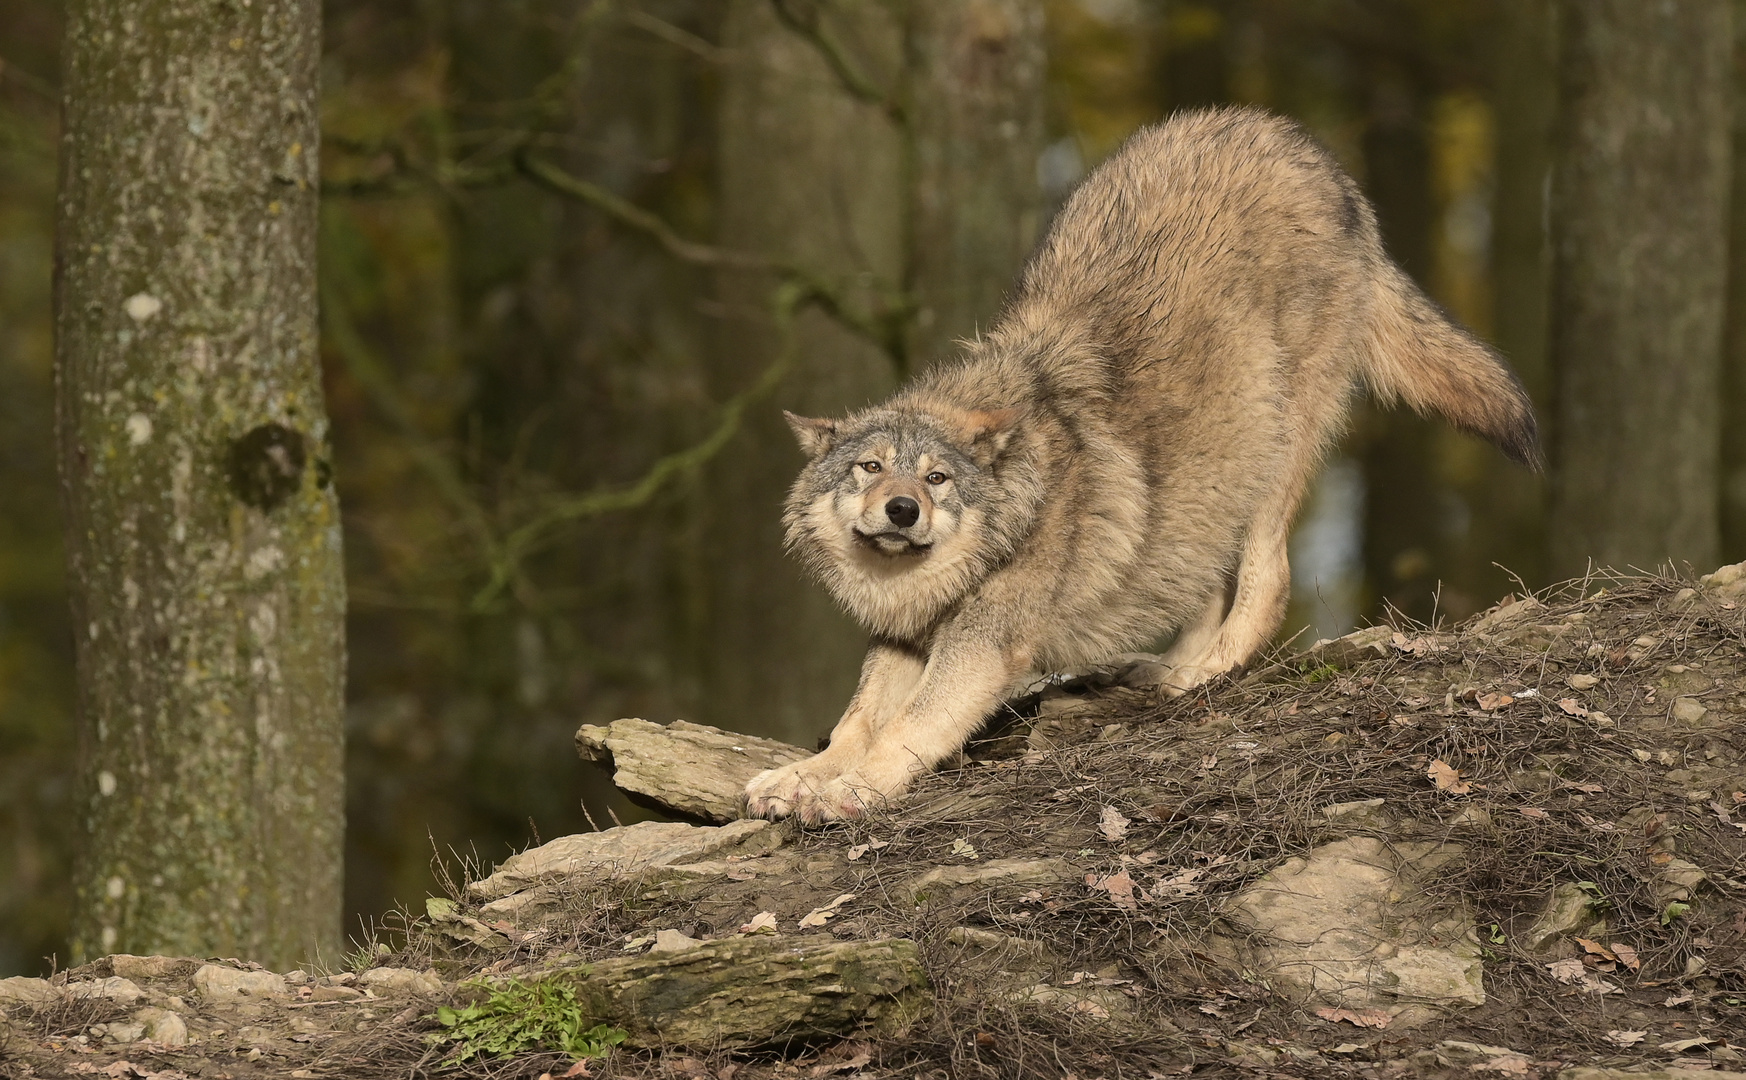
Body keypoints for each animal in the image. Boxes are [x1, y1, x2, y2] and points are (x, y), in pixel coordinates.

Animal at [743, 107, 1536, 820]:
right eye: (870, 469)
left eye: (936, 478)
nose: (903, 511)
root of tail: (1304, 146)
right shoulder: (903, 640)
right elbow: (855, 721)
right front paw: (798, 778)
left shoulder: (982, 645)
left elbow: (908, 727)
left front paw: (849, 791)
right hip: (1205, 481)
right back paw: (1167, 670)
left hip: (1270, 449)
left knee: (1268, 580)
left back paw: (1206, 674)